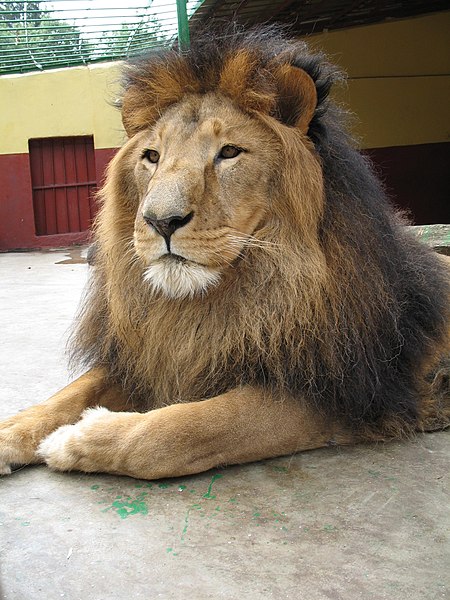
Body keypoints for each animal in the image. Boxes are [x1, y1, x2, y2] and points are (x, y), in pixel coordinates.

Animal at [0, 28, 450, 480]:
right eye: (152, 157)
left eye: (229, 152)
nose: (161, 221)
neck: (214, 303)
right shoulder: (148, 355)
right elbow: (70, 393)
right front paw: (12, 431)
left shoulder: (339, 391)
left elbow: (180, 431)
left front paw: (77, 439)